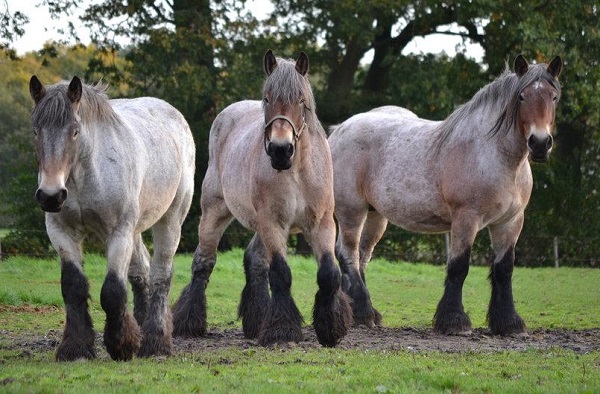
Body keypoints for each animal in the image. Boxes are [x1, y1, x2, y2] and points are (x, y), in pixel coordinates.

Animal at [28, 75, 195, 362]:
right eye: (36, 131)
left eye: (75, 131)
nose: (51, 195)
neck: (85, 175)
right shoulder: (61, 232)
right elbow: (73, 286)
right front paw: (76, 348)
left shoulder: (119, 232)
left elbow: (113, 290)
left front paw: (121, 346)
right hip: (136, 229)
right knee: (142, 272)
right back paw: (141, 326)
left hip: (170, 220)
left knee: (160, 274)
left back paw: (155, 342)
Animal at [172, 50, 352, 348]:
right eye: (267, 99)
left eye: (300, 100)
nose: (280, 150)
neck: (297, 171)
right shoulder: (273, 222)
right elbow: (280, 273)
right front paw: (282, 330)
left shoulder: (321, 223)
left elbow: (329, 273)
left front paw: (331, 329)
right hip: (215, 212)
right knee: (204, 261)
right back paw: (189, 322)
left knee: (254, 261)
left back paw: (256, 321)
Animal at [328, 54, 564, 336]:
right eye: (522, 96)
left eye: (554, 96)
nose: (540, 143)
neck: (494, 156)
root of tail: (339, 129)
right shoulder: (466, 218)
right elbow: (459, 267)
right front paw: (454, 320)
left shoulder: (510, 222)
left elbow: (504, 269)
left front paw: (508, 322)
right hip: (352, 210)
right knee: (348, 254)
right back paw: (363, 313)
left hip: (376, 216)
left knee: (362, 256)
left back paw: (362, 312)